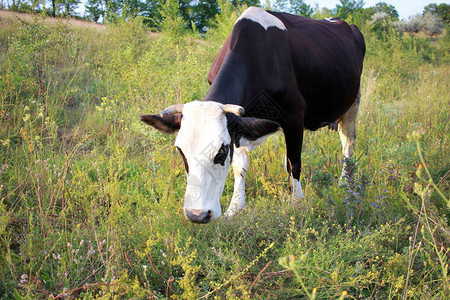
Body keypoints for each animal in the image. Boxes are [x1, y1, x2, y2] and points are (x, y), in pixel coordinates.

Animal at [141, 6, 366, 223]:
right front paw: (235, 208)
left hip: (353, 102)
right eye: (181, 151)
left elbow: (294, 163)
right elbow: (240, 166)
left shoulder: (294, 116)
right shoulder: (238, 124)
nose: (197, 214)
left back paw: (345, 184)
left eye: (221, 152)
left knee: (348, 143)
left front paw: (298, 203)